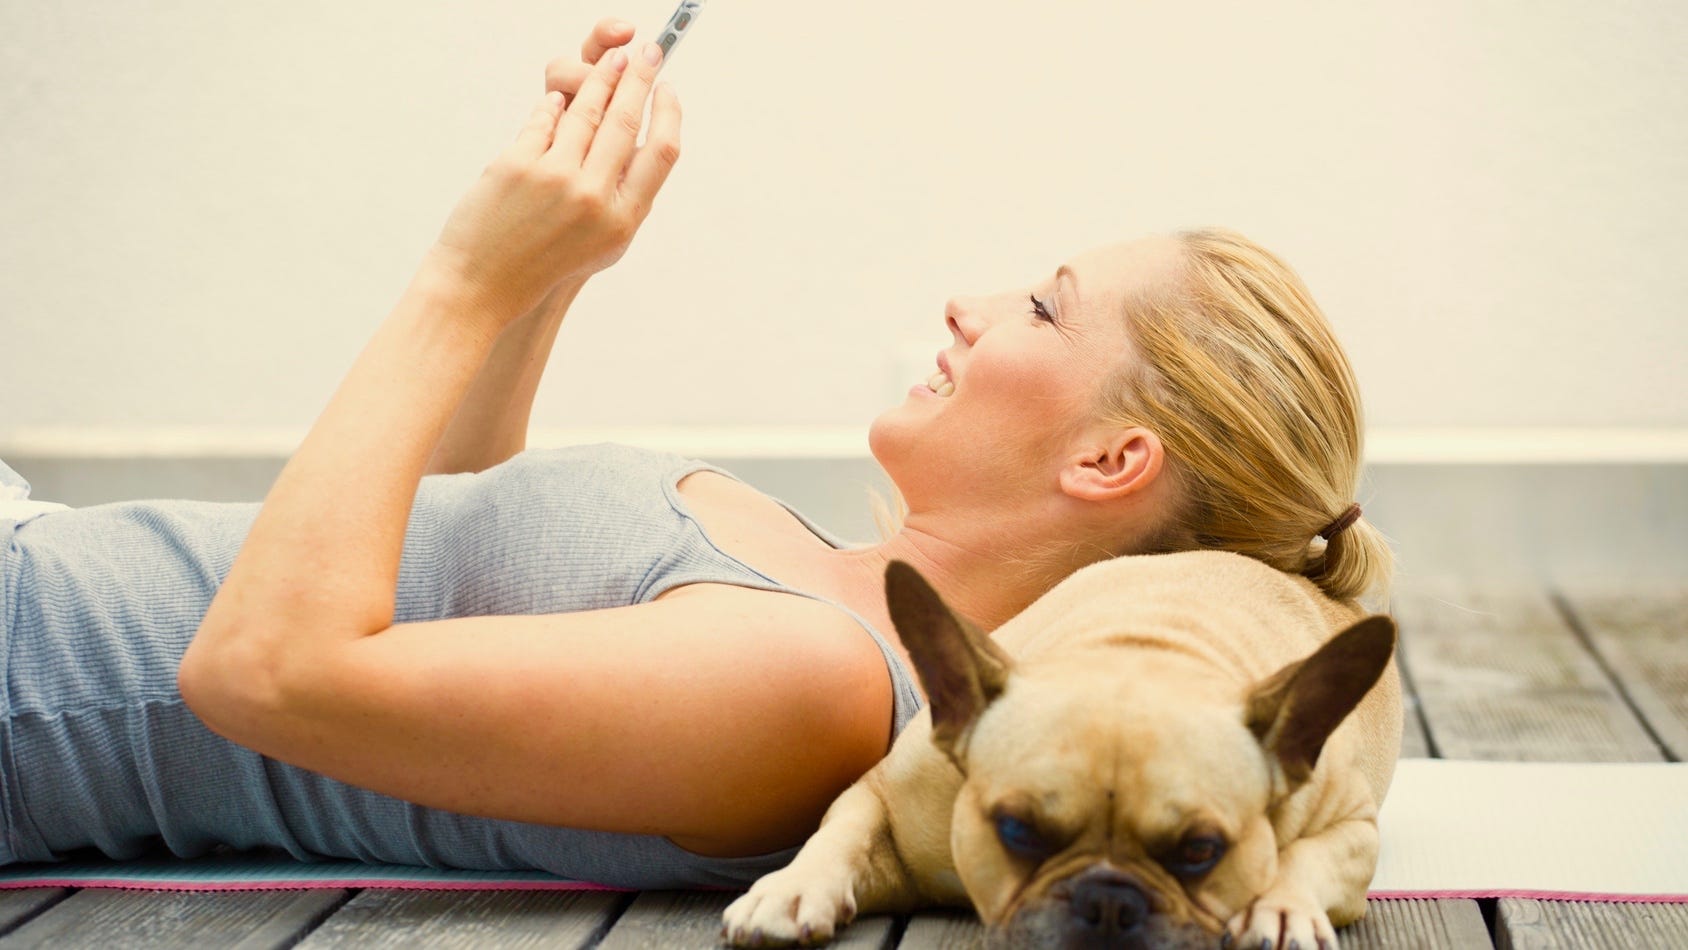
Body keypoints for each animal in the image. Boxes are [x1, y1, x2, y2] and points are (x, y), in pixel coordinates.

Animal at [722, 549, 1401, 949]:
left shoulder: (1355, 825)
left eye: (1200, 851)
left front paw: (1278, 909)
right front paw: (791, 889)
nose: (1108, 902)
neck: (1141, 644)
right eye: (1017, 830)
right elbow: (846, 829)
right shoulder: (890, 795)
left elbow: (1307, 856)